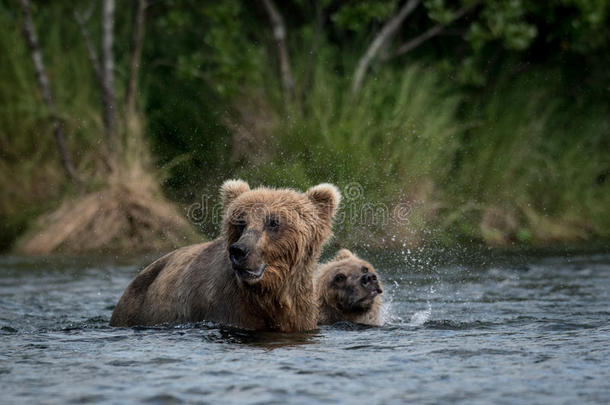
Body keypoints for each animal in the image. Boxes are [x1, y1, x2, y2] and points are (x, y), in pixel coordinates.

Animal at [108, 180, 338, 332]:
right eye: (240, 222)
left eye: (273, 222)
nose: (239, 250)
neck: (269, 293)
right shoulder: (229, 308)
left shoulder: (300, 312)